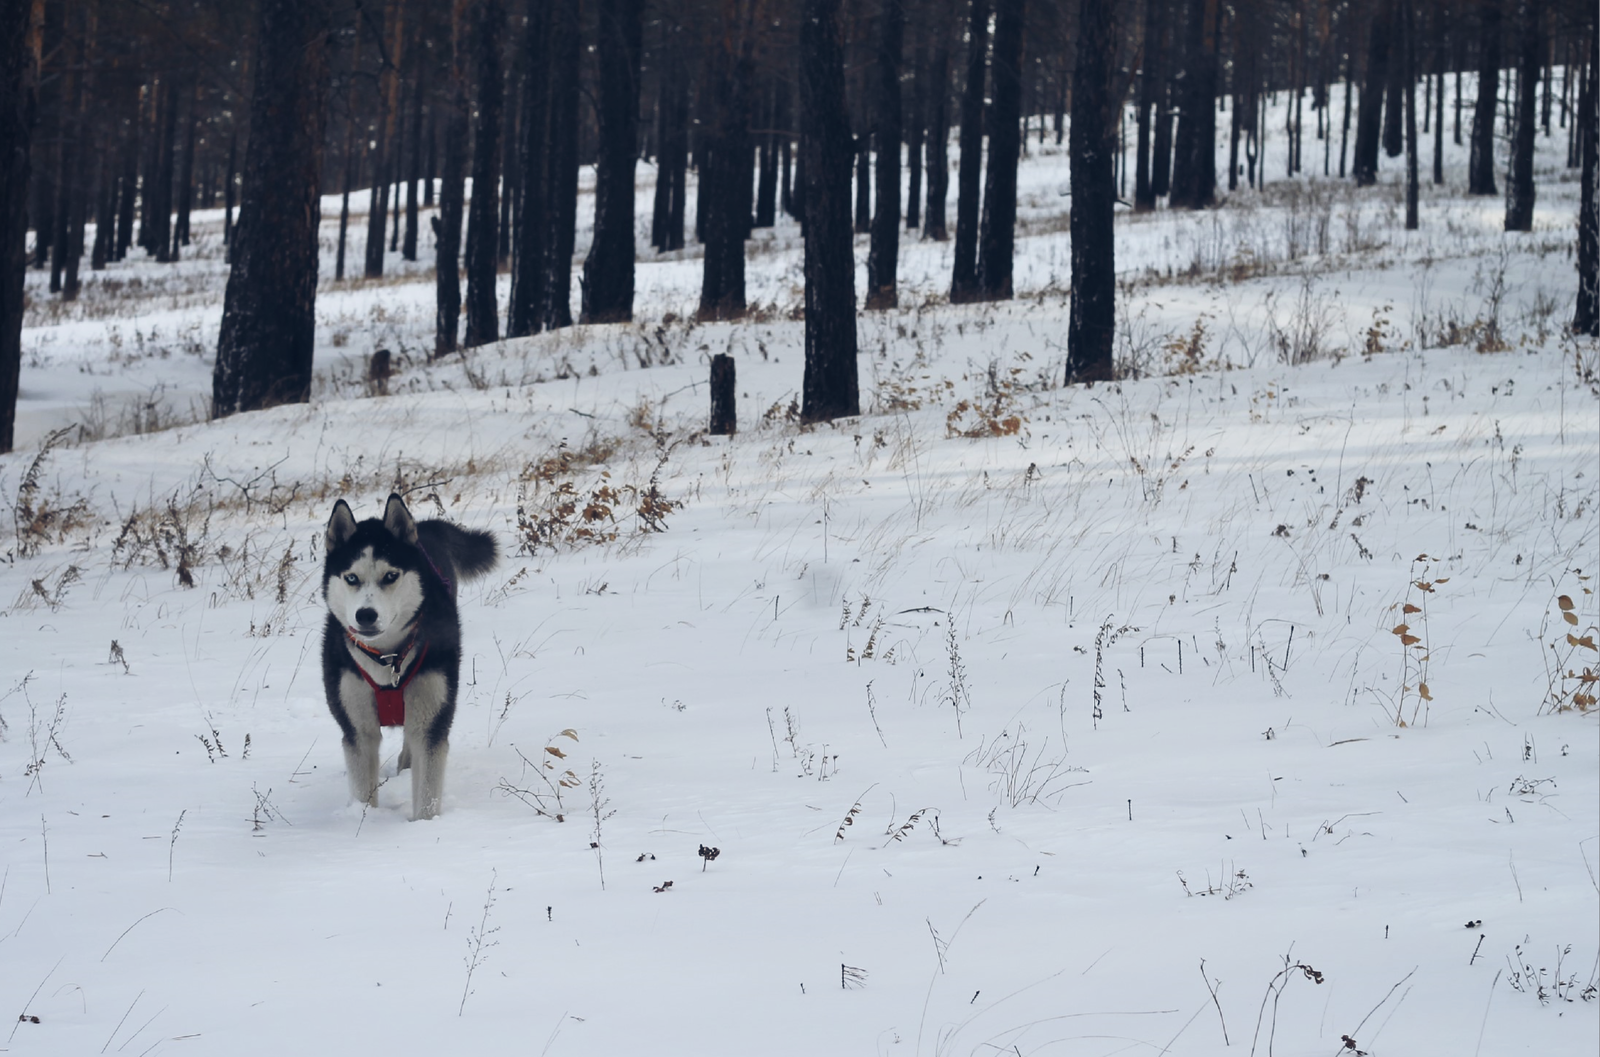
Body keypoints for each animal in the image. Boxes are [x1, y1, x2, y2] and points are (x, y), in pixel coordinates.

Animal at [321, 489, 496, 818]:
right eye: (351, 578)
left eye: (391, 576)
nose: (366, 615)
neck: (386, 658)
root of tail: (426, 527)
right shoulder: (357, 727)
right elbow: (363, 789)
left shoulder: (431, 719)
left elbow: (427, 791)